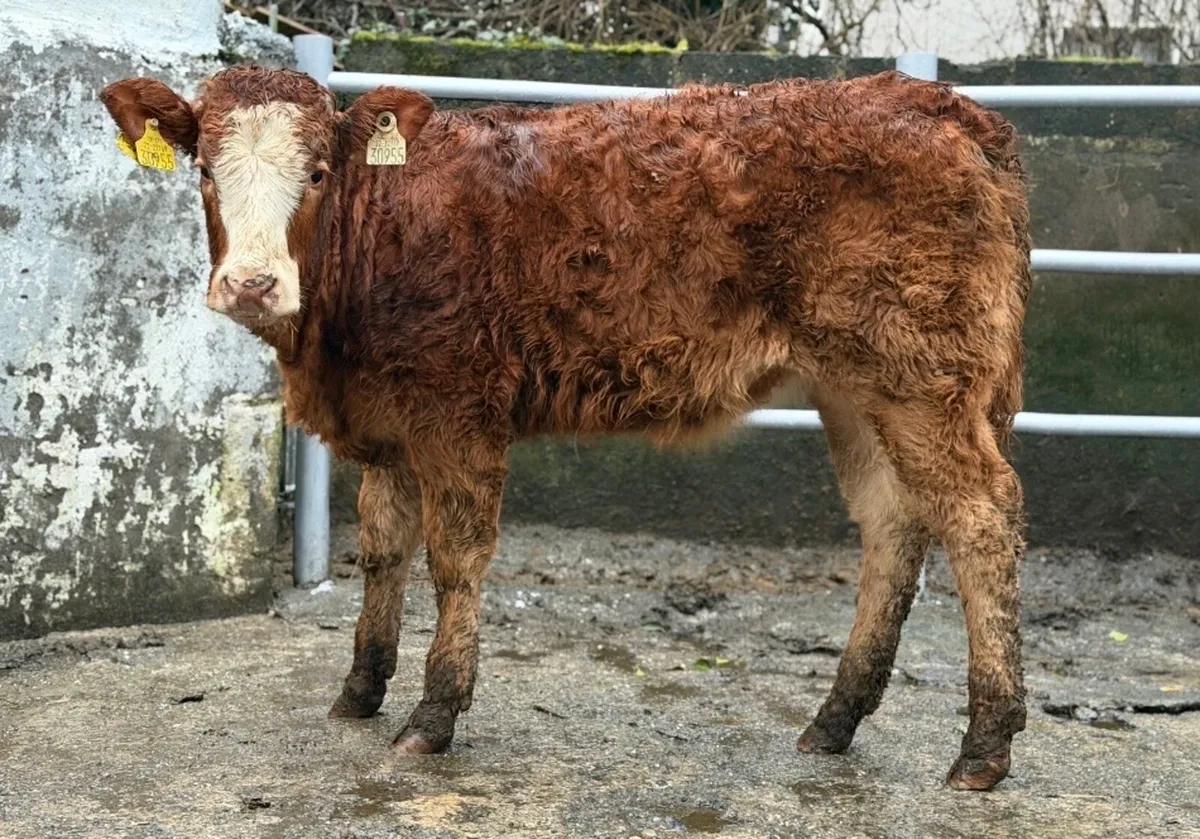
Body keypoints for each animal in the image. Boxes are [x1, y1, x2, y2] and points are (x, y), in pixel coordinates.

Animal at [100, 64, 1031, 791]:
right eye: (205, 171)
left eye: (321, 172)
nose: (252, 284)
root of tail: (934, 101)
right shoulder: (389, 420)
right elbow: (383, 548)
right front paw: (361, 689)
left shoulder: (458, 410)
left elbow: (455, 556)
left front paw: (432, 714)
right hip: (855, 384)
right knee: (893, 520)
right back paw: (836, 718)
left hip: (922, 372)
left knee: (980, 515)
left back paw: (983, 744)